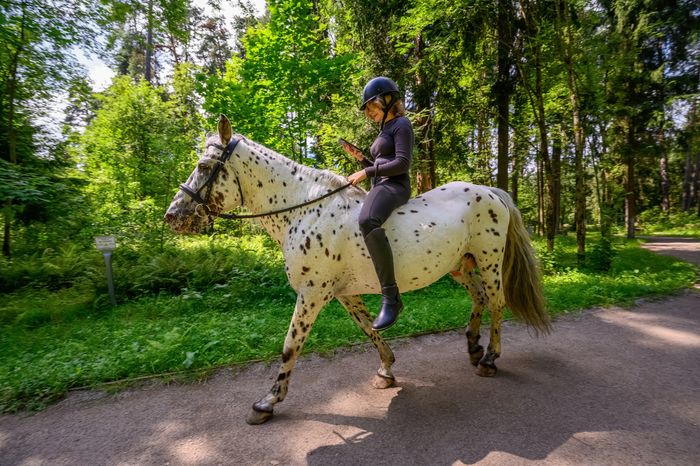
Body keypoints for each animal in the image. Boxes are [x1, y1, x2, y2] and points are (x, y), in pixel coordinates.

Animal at [165, 115, 551, 425]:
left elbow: (291, 345)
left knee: (497, 303)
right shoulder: (343, 293)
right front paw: (386, 370)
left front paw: (267, 402)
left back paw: (489, 359)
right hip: (460, 265)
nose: (172, 216)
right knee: (479, 298)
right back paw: (472, 348)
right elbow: (368, 328)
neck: (303, 211)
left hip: (489, 261)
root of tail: (492, 192)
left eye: (203, 166)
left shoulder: (312, 293)